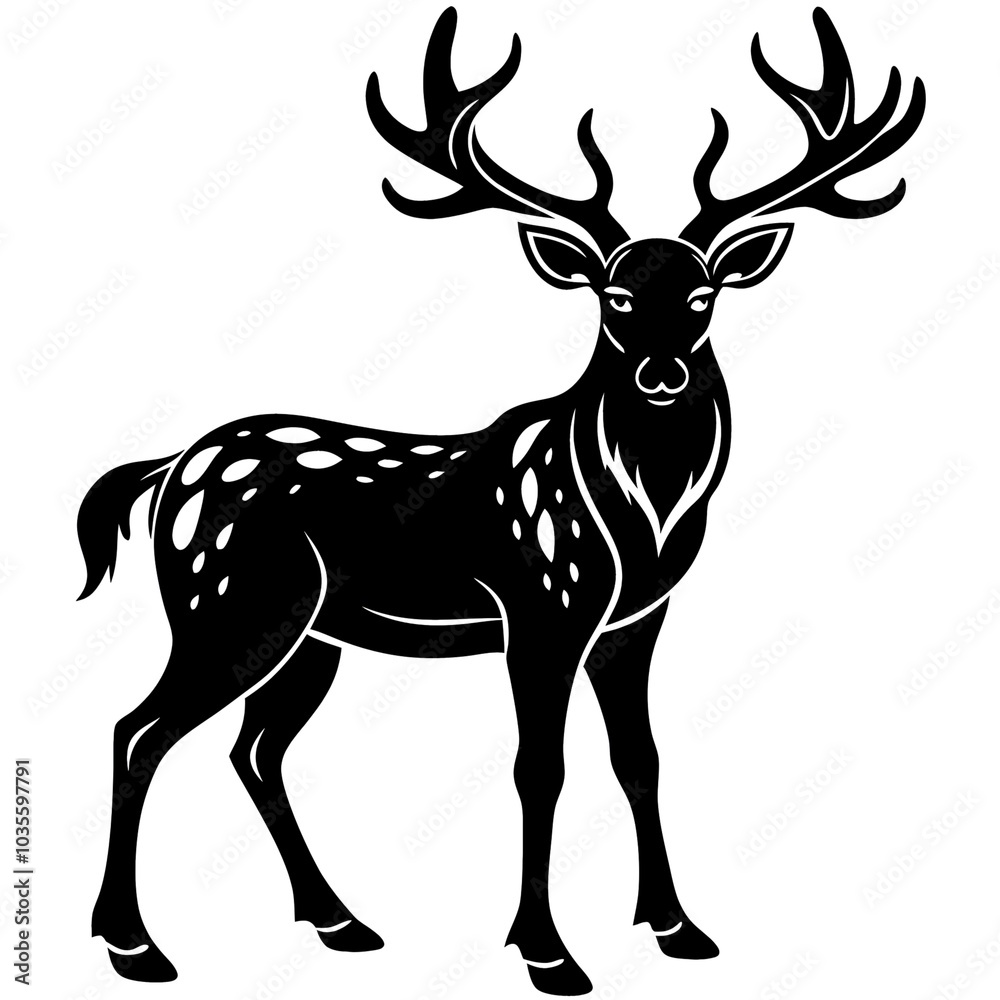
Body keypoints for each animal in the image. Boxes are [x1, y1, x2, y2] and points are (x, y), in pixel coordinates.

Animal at [78, 6, 924, 995]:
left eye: (704, 294)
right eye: (616, 295)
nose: (663, 373)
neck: (641, 517)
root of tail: (166, 469)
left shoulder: (637, 620)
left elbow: (639, 758)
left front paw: (677, 927)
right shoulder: (541, 606)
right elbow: (539, 768)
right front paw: (548, 951)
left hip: (307, 634)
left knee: (253, 749)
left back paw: (339, 921)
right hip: (226, 603)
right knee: (138, 729)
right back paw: (134, 944)